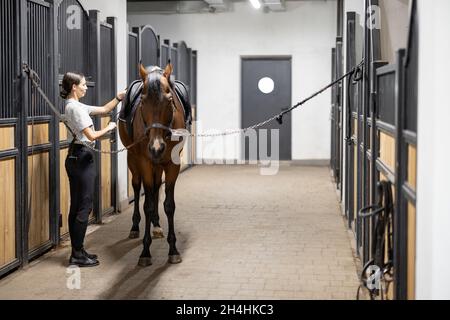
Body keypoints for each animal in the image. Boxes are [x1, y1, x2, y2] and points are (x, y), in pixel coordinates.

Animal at [118, 62, 185, 264]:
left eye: (169, 100)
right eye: (142, 101)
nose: (156, 147)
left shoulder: (172, 164)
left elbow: (169, 205)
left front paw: (173, 250)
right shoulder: (145, 162)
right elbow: (146, 204)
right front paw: (145, 252)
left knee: (155, 188)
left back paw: (156, 225)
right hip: (133, 159)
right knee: (137, 187)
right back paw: (135, 227)